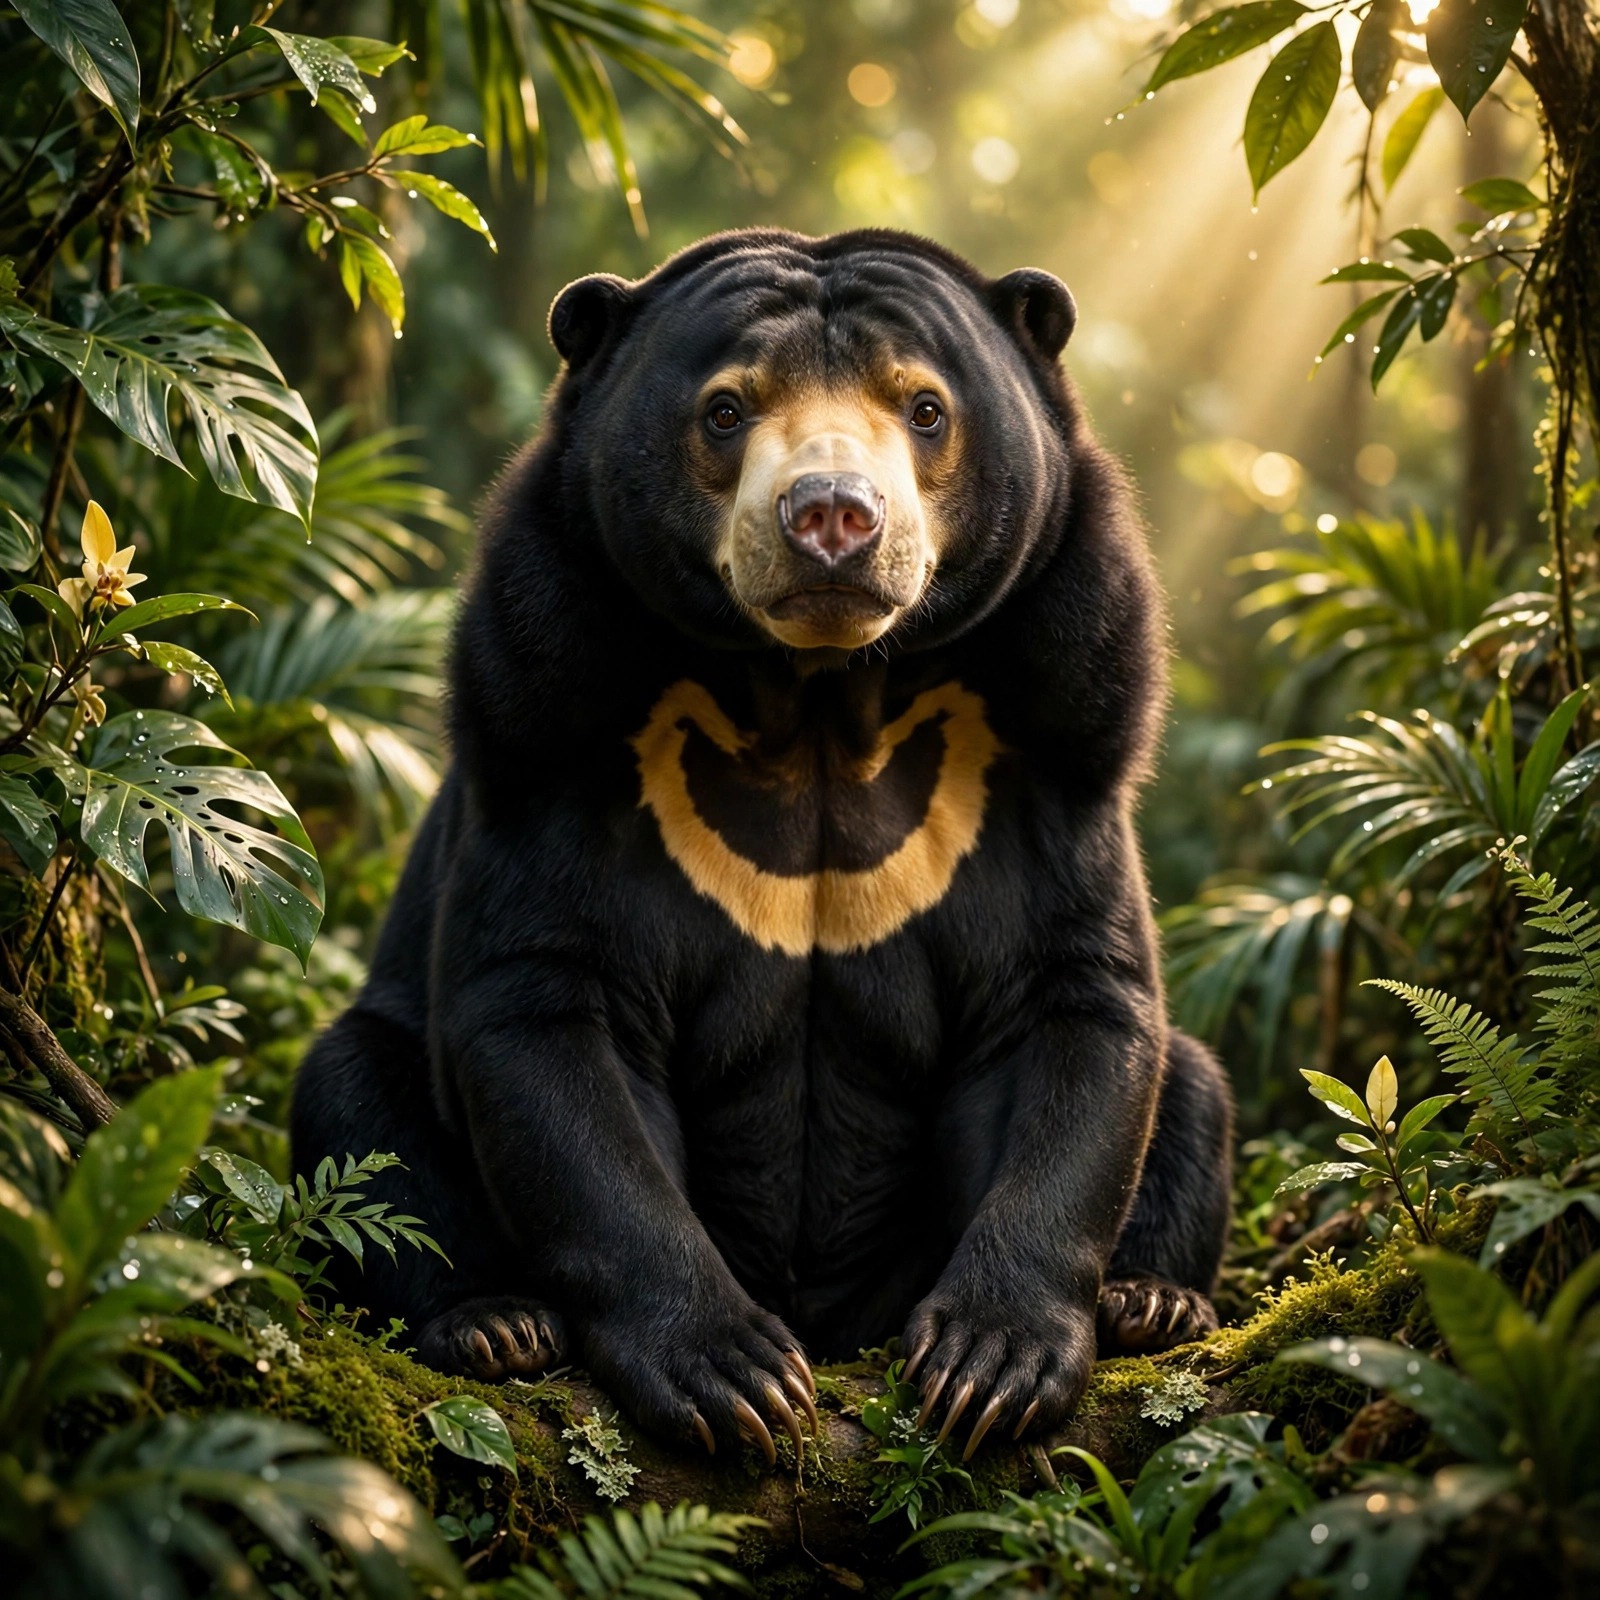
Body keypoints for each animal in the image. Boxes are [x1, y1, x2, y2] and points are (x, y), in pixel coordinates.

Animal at [290, 227, 1233, 1464]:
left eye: (924, 407)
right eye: (726, 409)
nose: (832, 516)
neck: (818, 691)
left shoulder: (1057, 725)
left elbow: (1064, 1004)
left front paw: (991, 1361)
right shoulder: (547, 710)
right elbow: (549, 1021)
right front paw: (729, 1370)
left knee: (1194, 1083)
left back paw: (1151, 1302)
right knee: (357, 1100)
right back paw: (493, 1323)